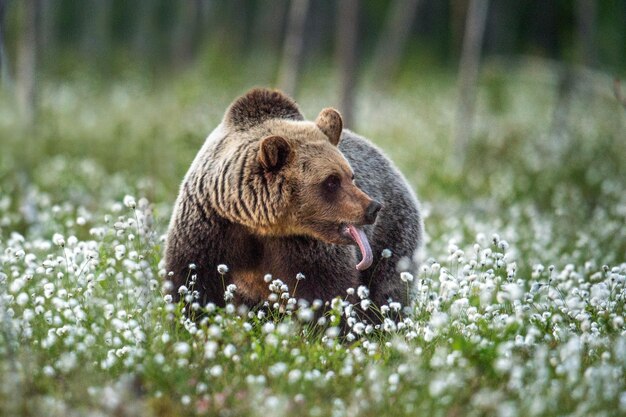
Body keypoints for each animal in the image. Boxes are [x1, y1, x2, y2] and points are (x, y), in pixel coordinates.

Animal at [163, 88, 422, 308]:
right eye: (331, 181)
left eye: (351, 176)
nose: (373, 208)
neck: (259, 224)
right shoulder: (210, 227)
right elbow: (192, 279)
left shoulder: (304, 244)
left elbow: (325, 290)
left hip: (392, 235)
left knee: (387, 286)